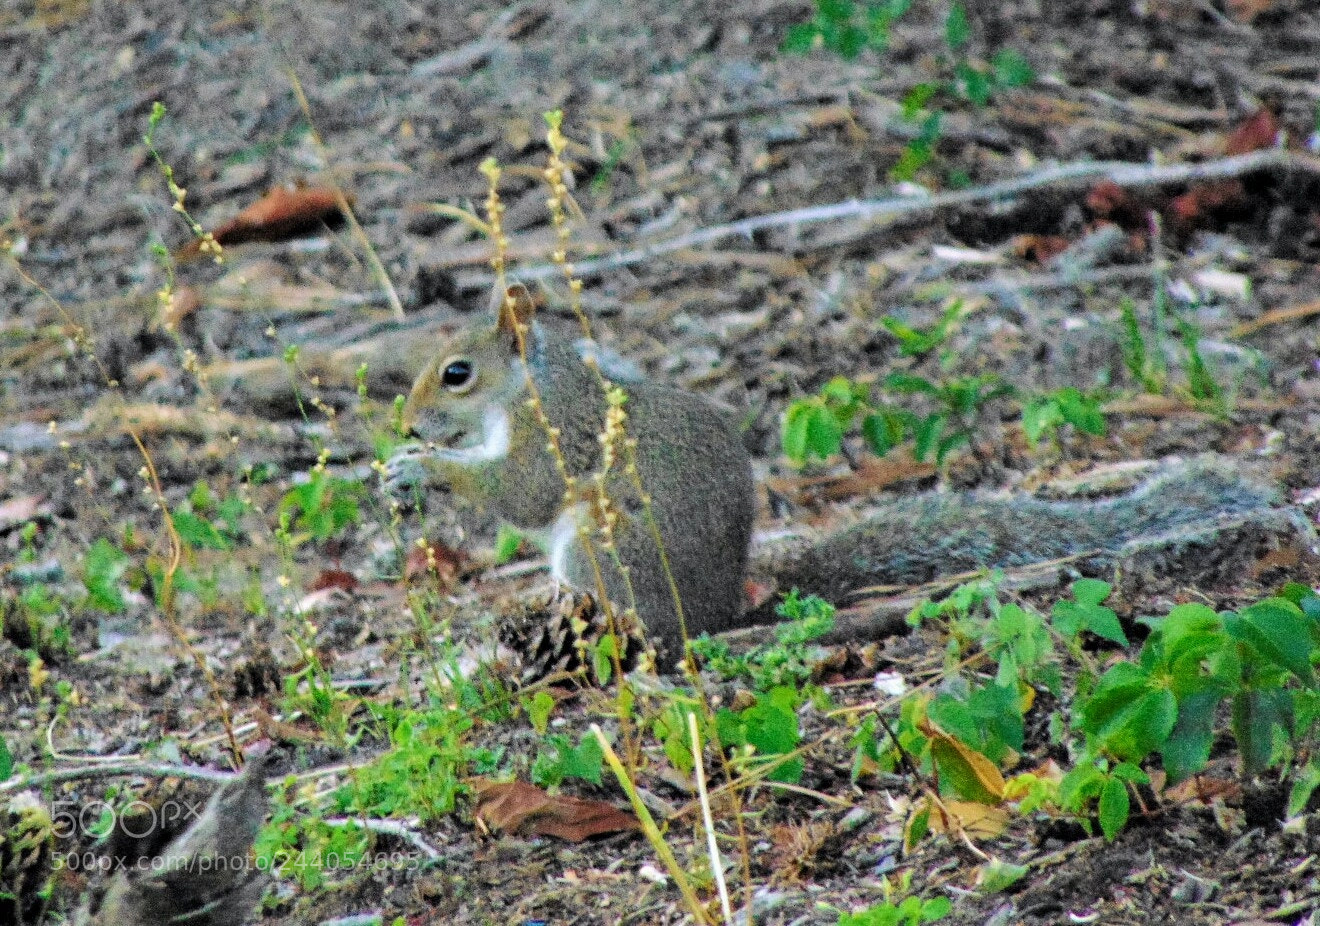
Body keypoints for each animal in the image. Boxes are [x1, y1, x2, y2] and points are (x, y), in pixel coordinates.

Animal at [384, 285, 1297, 659]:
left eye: (456, 373)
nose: (408, 422)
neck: (526, 386)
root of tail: (722, 610)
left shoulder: (555, 434)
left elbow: (522, 490)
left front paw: (427, 469)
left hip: (601, 552)